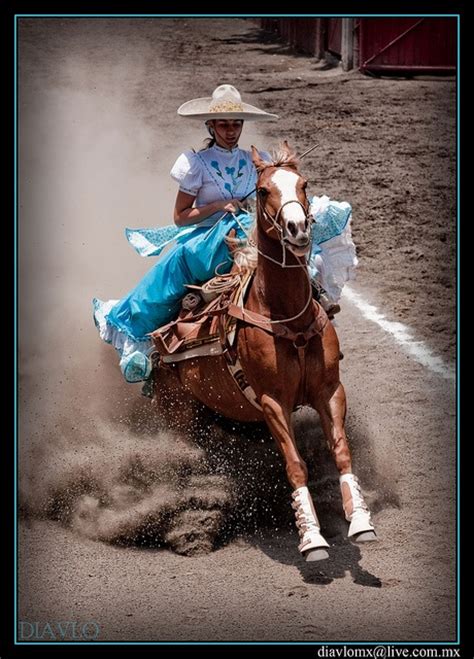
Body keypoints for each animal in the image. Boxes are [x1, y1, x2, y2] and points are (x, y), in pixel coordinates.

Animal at [150, 142, 376, 560]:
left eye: (304, 184)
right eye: (263, 190)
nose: (298, 228)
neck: (287, 317)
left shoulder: (330, 391)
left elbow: (341, 451)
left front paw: (360, 521)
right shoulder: (273, 402)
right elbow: (296, 465)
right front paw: (312, 538)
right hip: (179, 416)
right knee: (189, 463)